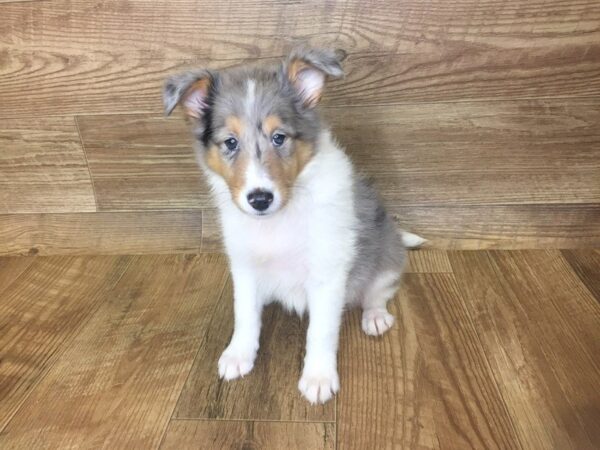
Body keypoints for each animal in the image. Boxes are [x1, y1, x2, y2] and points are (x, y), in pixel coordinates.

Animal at [162, 47, 424, 402]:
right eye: (230, 143)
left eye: (279, 138)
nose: (260, 199)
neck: (278, 220)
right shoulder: (244, 267)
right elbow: (245, 315)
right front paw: (238, 355)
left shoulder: (327, 274)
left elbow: (321, 332)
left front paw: (318, 378)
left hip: (386, 259)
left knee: (377, 293)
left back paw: (375, 317)